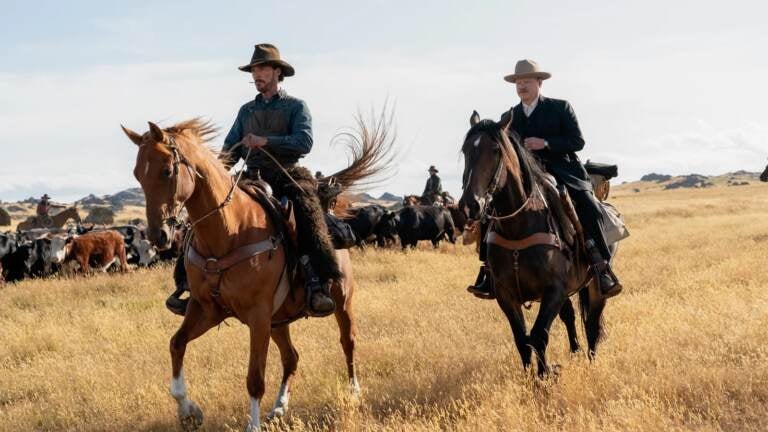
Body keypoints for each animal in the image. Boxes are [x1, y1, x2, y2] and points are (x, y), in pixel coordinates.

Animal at [122, 115, 392, 432]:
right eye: (138, 174)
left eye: (166, 171)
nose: (158, 235)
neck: (229, 231)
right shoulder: (206, 309)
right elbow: (176, 345)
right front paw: (189, 411)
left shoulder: (258, 314)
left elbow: (255, 378)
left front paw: (251, 425)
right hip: (279, 321)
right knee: (291, 357)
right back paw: (279, 408)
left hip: (342, 301)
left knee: (348, 343)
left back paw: (353, 392)